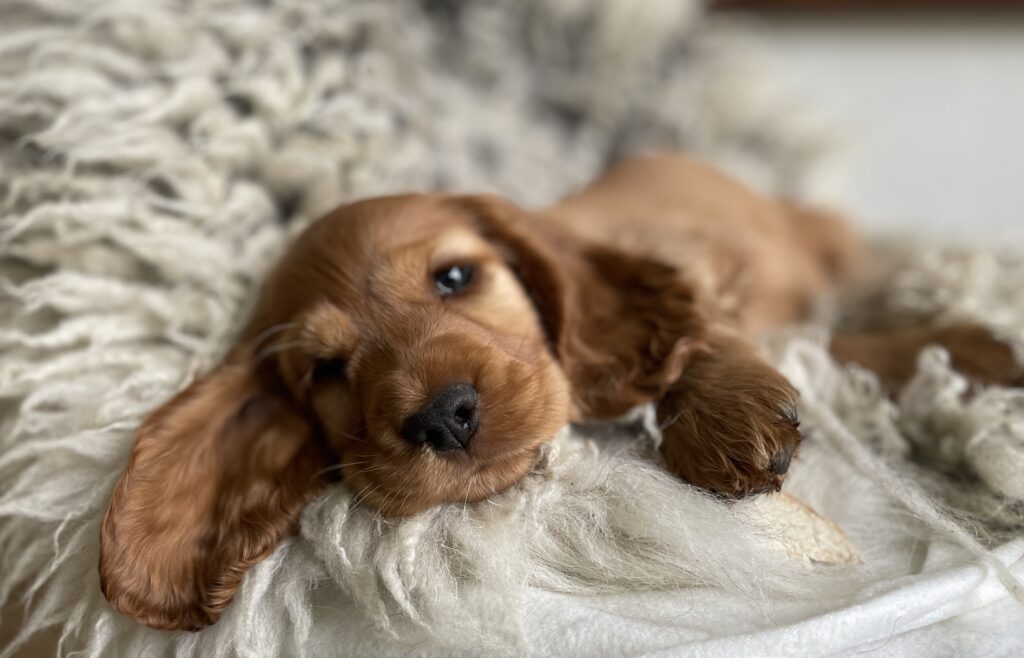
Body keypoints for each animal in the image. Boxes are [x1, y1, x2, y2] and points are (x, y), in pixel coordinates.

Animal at [97, 151, 1024, 630]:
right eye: (325, 370)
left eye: (455, 276)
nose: (443, 419)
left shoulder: (697, 268)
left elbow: (702, 328)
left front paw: (724, 416)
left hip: (819, 239)